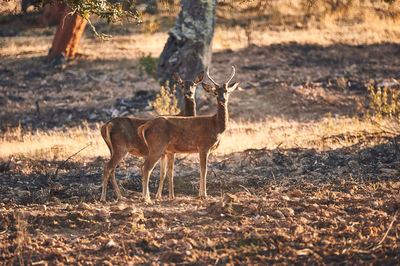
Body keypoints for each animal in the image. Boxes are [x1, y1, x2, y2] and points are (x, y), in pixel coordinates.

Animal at [100, 70, 203, 202]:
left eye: (194, 84)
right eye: (182, 85)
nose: (189, 93)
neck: (183, 116)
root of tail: (106, 125)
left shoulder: (164, 152)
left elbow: (163, 173)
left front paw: (159, 196)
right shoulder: (170, 151)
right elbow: (170, 172)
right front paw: (171, 196)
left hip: (112, 149)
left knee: (112, 169)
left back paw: (120, 196)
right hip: (121, 147)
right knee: (108, 167)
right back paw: (104, 198)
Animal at [138, 66, 238, 202]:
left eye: (227, 91)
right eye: (216, 93)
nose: (223, 100)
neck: (216, 126)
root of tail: (145, 126)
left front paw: (201, 194)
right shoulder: (203, 146)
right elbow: (203, 169)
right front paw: (203, 195)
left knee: (144, 167)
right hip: (157, 145)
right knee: (146, 167)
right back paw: (147, 198)